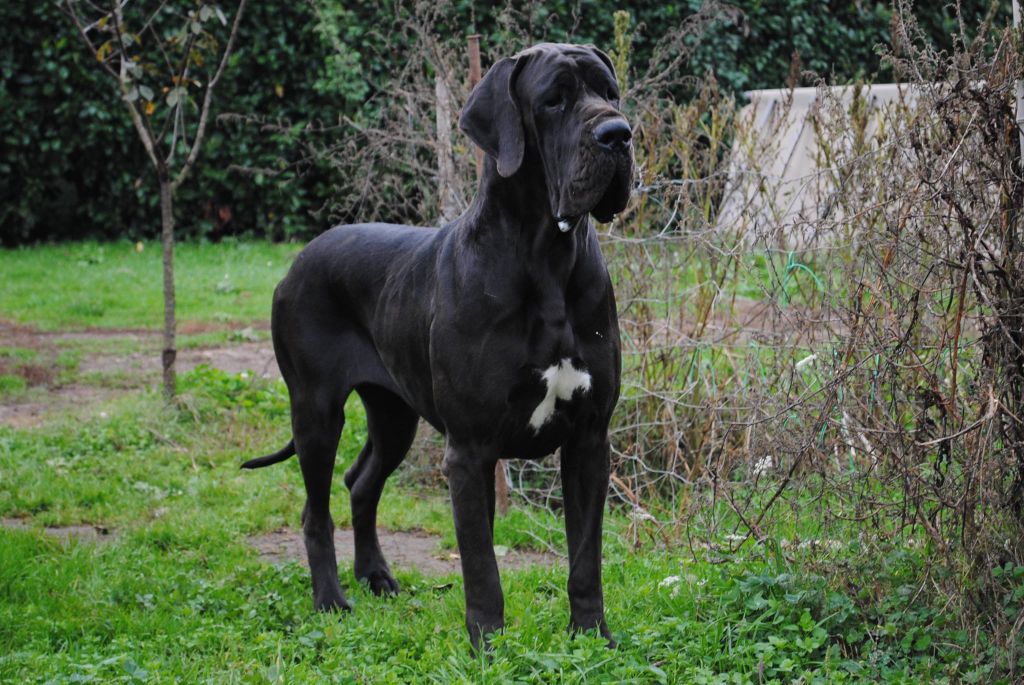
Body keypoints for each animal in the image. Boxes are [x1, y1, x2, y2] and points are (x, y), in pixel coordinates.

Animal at [243, 42, 634, 649]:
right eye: (554, 100)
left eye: (609, 92)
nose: (619, 133)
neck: (547, 256)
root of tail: (297, 261)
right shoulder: (470, 449)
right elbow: (480, 562)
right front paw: (488, 644)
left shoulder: (590, 438)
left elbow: (585, 554)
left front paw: (593, 635)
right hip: (315, 410)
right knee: (315, 510)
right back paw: (331, 600)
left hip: (393, 413)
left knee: (361, 483)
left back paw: (377, 577)